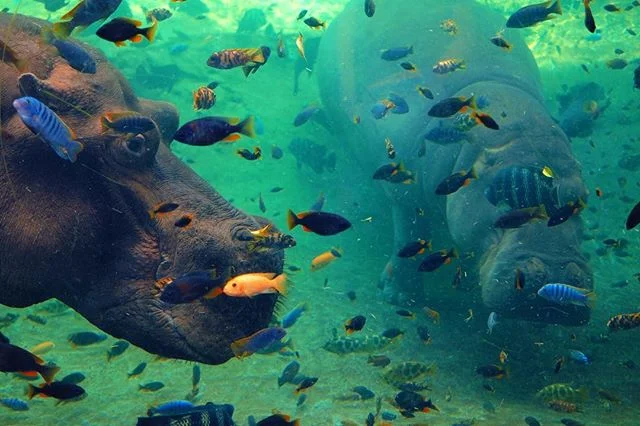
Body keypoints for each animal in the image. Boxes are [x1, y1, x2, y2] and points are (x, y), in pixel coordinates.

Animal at [317, 1, 593, 325]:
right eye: (501, 196)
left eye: (581, 200)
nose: (554, 273)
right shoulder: (403, 190)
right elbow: (409, 234)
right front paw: (399, 297)